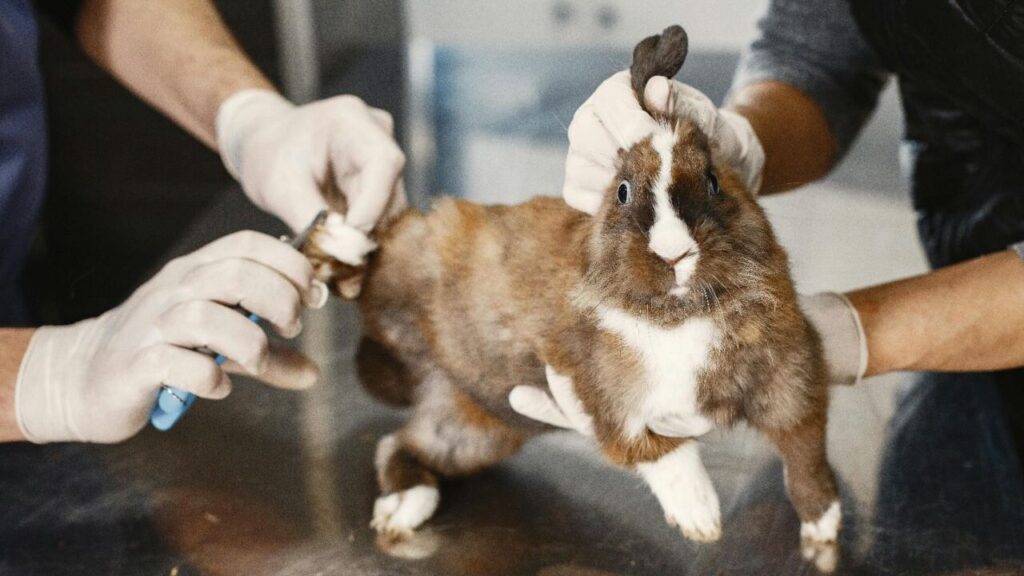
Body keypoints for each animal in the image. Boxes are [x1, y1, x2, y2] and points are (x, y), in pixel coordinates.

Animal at [304, 25, 840, 551]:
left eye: (713, 181)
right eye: (622, 191)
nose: (674, 254)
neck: (678, 316)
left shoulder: (792, 376)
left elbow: (804, 451)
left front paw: (824, 524)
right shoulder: (604, 398)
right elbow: (660, 452)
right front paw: (701, 516)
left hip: (477, 426)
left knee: (401, 444)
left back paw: (403, 507)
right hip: (409, 265)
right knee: (366, 268)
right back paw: (338, 238)